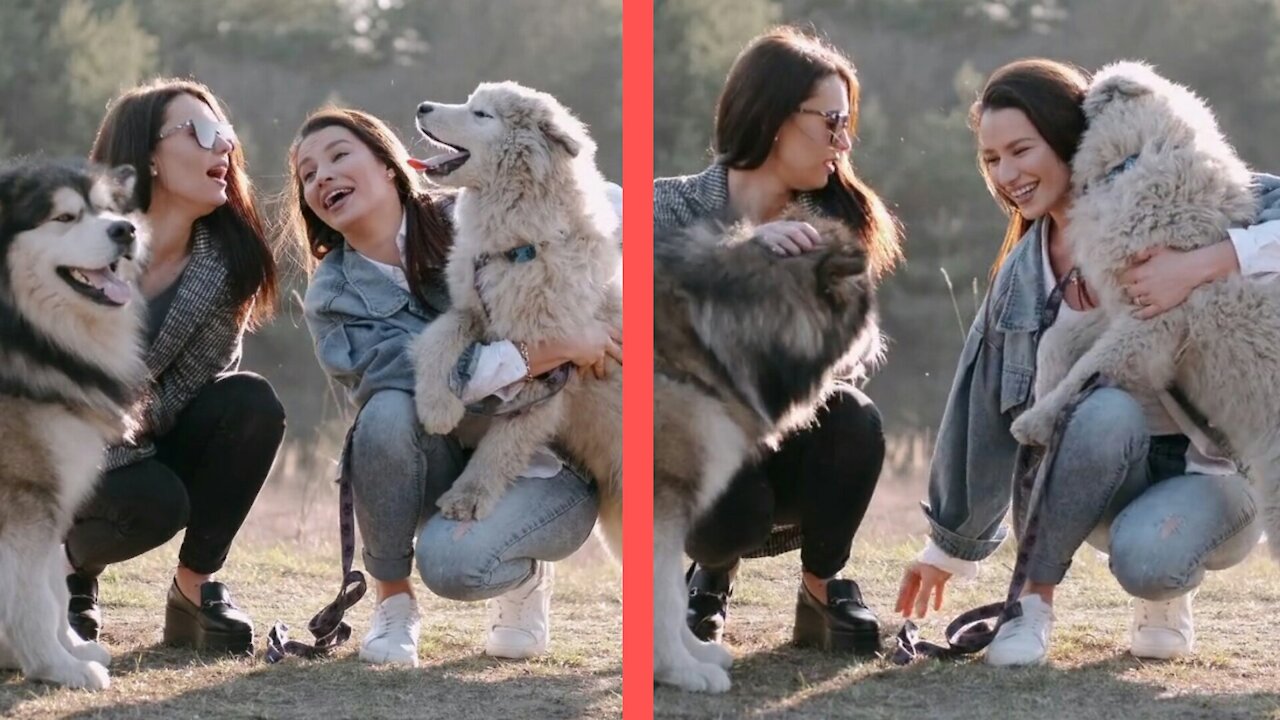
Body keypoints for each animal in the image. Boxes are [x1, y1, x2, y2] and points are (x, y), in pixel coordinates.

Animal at [0, 159, 146, 686]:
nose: (125, 230)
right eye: (64, 217)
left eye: (107, 209)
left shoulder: (55, 484)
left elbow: (53, 584)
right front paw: (57, 665)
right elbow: (35, 596)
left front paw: (71, 648)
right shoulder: (25, 494)